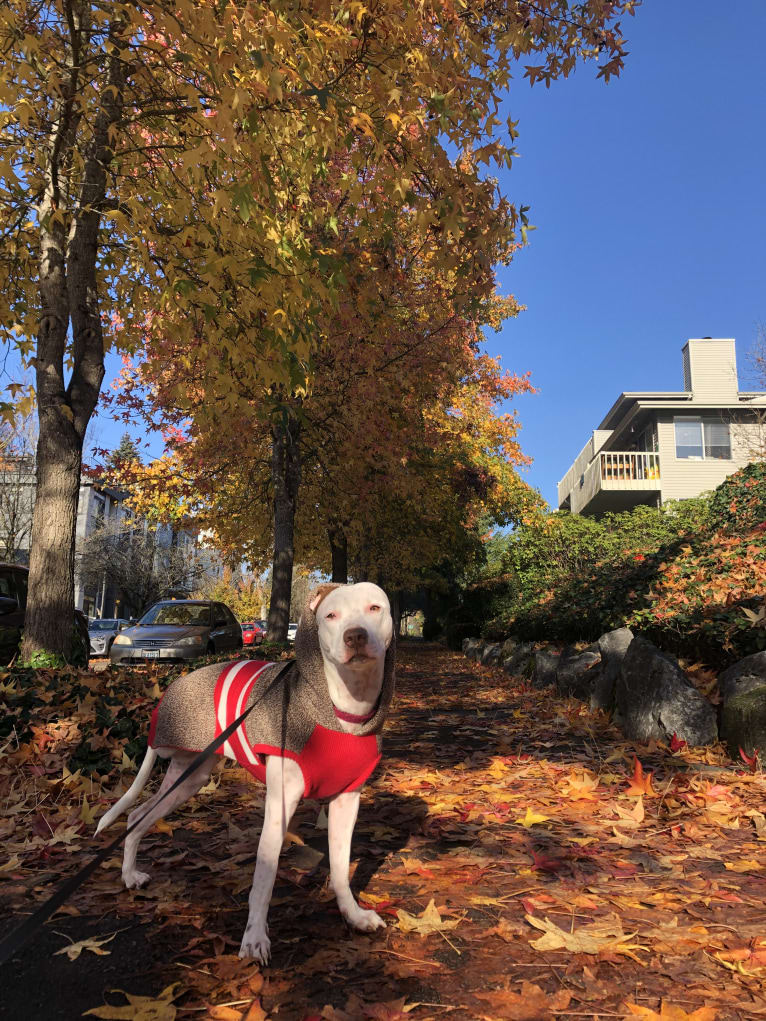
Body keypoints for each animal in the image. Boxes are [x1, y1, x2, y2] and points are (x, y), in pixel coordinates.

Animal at [96, 584, 396, 963]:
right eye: (331, 615)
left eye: (375, 608)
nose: (355, 635)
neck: (343, 709)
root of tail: (171, 690)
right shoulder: (280, 805)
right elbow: (264, 877)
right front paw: (255, 938)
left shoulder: (347, 802)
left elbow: (341, 867)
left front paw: (352, 915)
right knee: (137, 813)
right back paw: (129, 875)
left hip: (188, 778)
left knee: (137, 815)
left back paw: (129, 875)